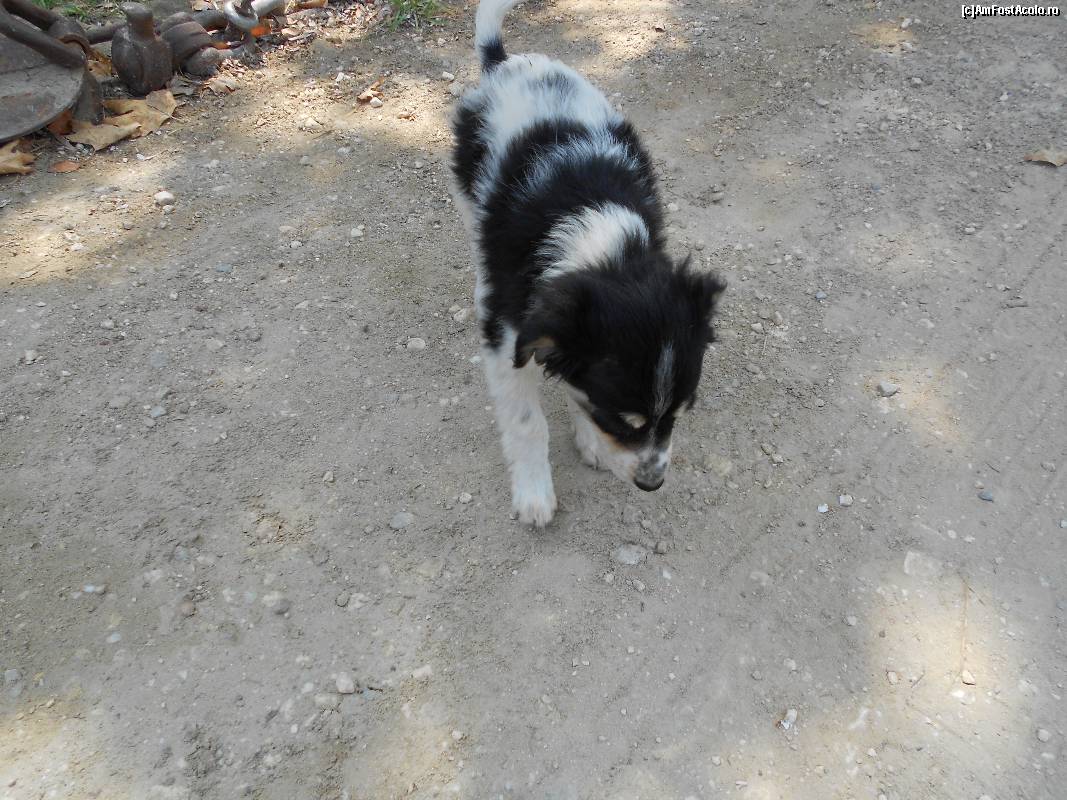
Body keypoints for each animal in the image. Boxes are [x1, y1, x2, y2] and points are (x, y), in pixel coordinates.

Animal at [451, 0, 726, 527]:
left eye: (677, 416)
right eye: (624, 419)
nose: (651, 484)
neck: (605, 246)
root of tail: (504, 62)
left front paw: (589, 441)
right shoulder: (510, 338)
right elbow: (527, 423)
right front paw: (535, 496)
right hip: (468, 190)